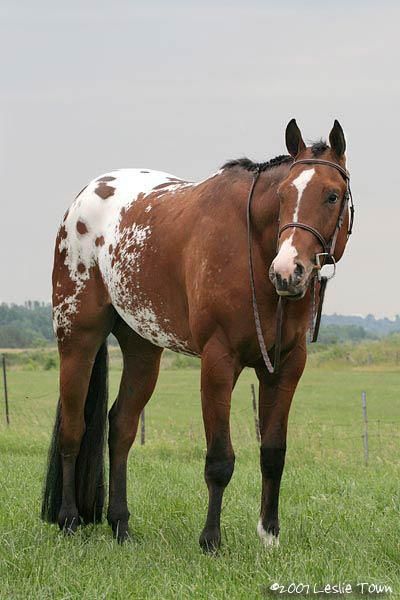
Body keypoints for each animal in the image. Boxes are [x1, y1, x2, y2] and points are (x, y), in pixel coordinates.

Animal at [41, 118, 354, 552]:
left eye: (331, 195)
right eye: (283, 195)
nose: (288, 271)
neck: (251, 244)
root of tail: (82, 200)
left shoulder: (287, 367)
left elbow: (273, 453)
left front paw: (269, 536)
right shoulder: (218, 361)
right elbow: (219, 459)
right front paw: (210, 540)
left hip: (143, 349)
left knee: (120, 428)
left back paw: (120, 525)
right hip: (77, 338)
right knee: (74, 429)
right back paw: (69, 520)